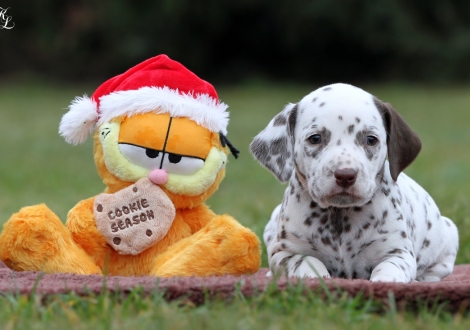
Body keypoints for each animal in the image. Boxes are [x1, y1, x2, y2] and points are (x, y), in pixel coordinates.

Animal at [250, 84, 458, 282]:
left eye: (371, 139)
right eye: (315, 138)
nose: (345, 175)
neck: (339, 216)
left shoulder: (397, 252)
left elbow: (389, 268)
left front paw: (386, 281)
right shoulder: (284, 252)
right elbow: (307, 261)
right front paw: (314, 276)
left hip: (449, 235)